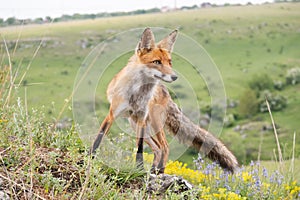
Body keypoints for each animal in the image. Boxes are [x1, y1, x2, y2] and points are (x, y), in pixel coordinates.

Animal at [90, 27, 238, 173]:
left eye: (169, 62)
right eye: (157, 62)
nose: (175, 77)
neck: (137, 94)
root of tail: (165, 92)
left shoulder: (142, 117)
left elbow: (139, 148)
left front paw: (139, 169)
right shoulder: (112, 114)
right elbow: (99, 137)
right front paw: (91, 157)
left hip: (153, 122)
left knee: (164, 146)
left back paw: (159, 172)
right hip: (135, 124)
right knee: (157, 147)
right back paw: (153, 170)